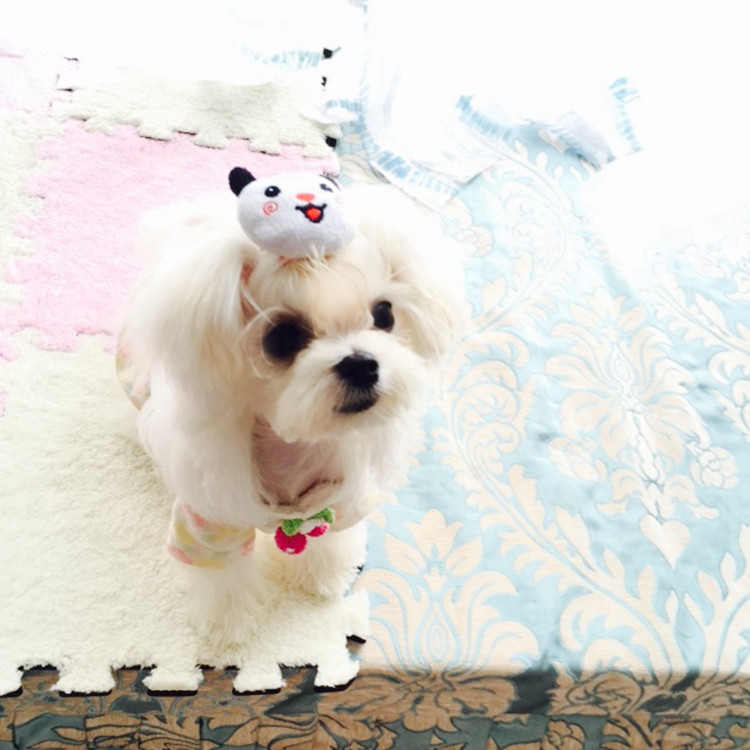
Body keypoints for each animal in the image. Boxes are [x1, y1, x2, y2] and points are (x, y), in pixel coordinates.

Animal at [117, 171, 462, 645]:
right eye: (280, 338)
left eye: (384, 314)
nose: (361, 363)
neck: (295, 446)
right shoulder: (209, 521)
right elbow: (221, 573)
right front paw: (226, 623)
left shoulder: (338, 499)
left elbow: (330, 537)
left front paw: (326, 575)